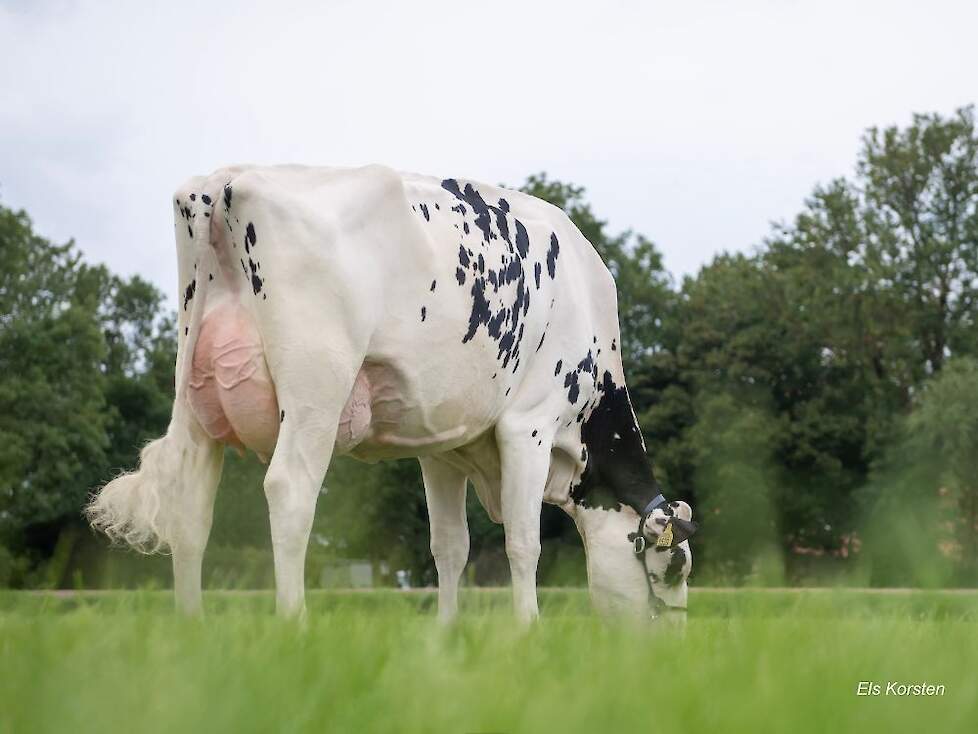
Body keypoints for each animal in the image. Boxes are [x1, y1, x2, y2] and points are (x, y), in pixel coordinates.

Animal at [86, 168, 692, 628]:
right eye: (673, 569)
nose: (670, 648)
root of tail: (226, 181)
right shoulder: (530, 425)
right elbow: (524, 542)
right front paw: (528, 633)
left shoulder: (444, 447)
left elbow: (450, 547)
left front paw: (447, 635)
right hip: (316, 392)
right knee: (289, 493)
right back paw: (293, 625)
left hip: (195, 400)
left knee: (189, 509)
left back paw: (191, 631)